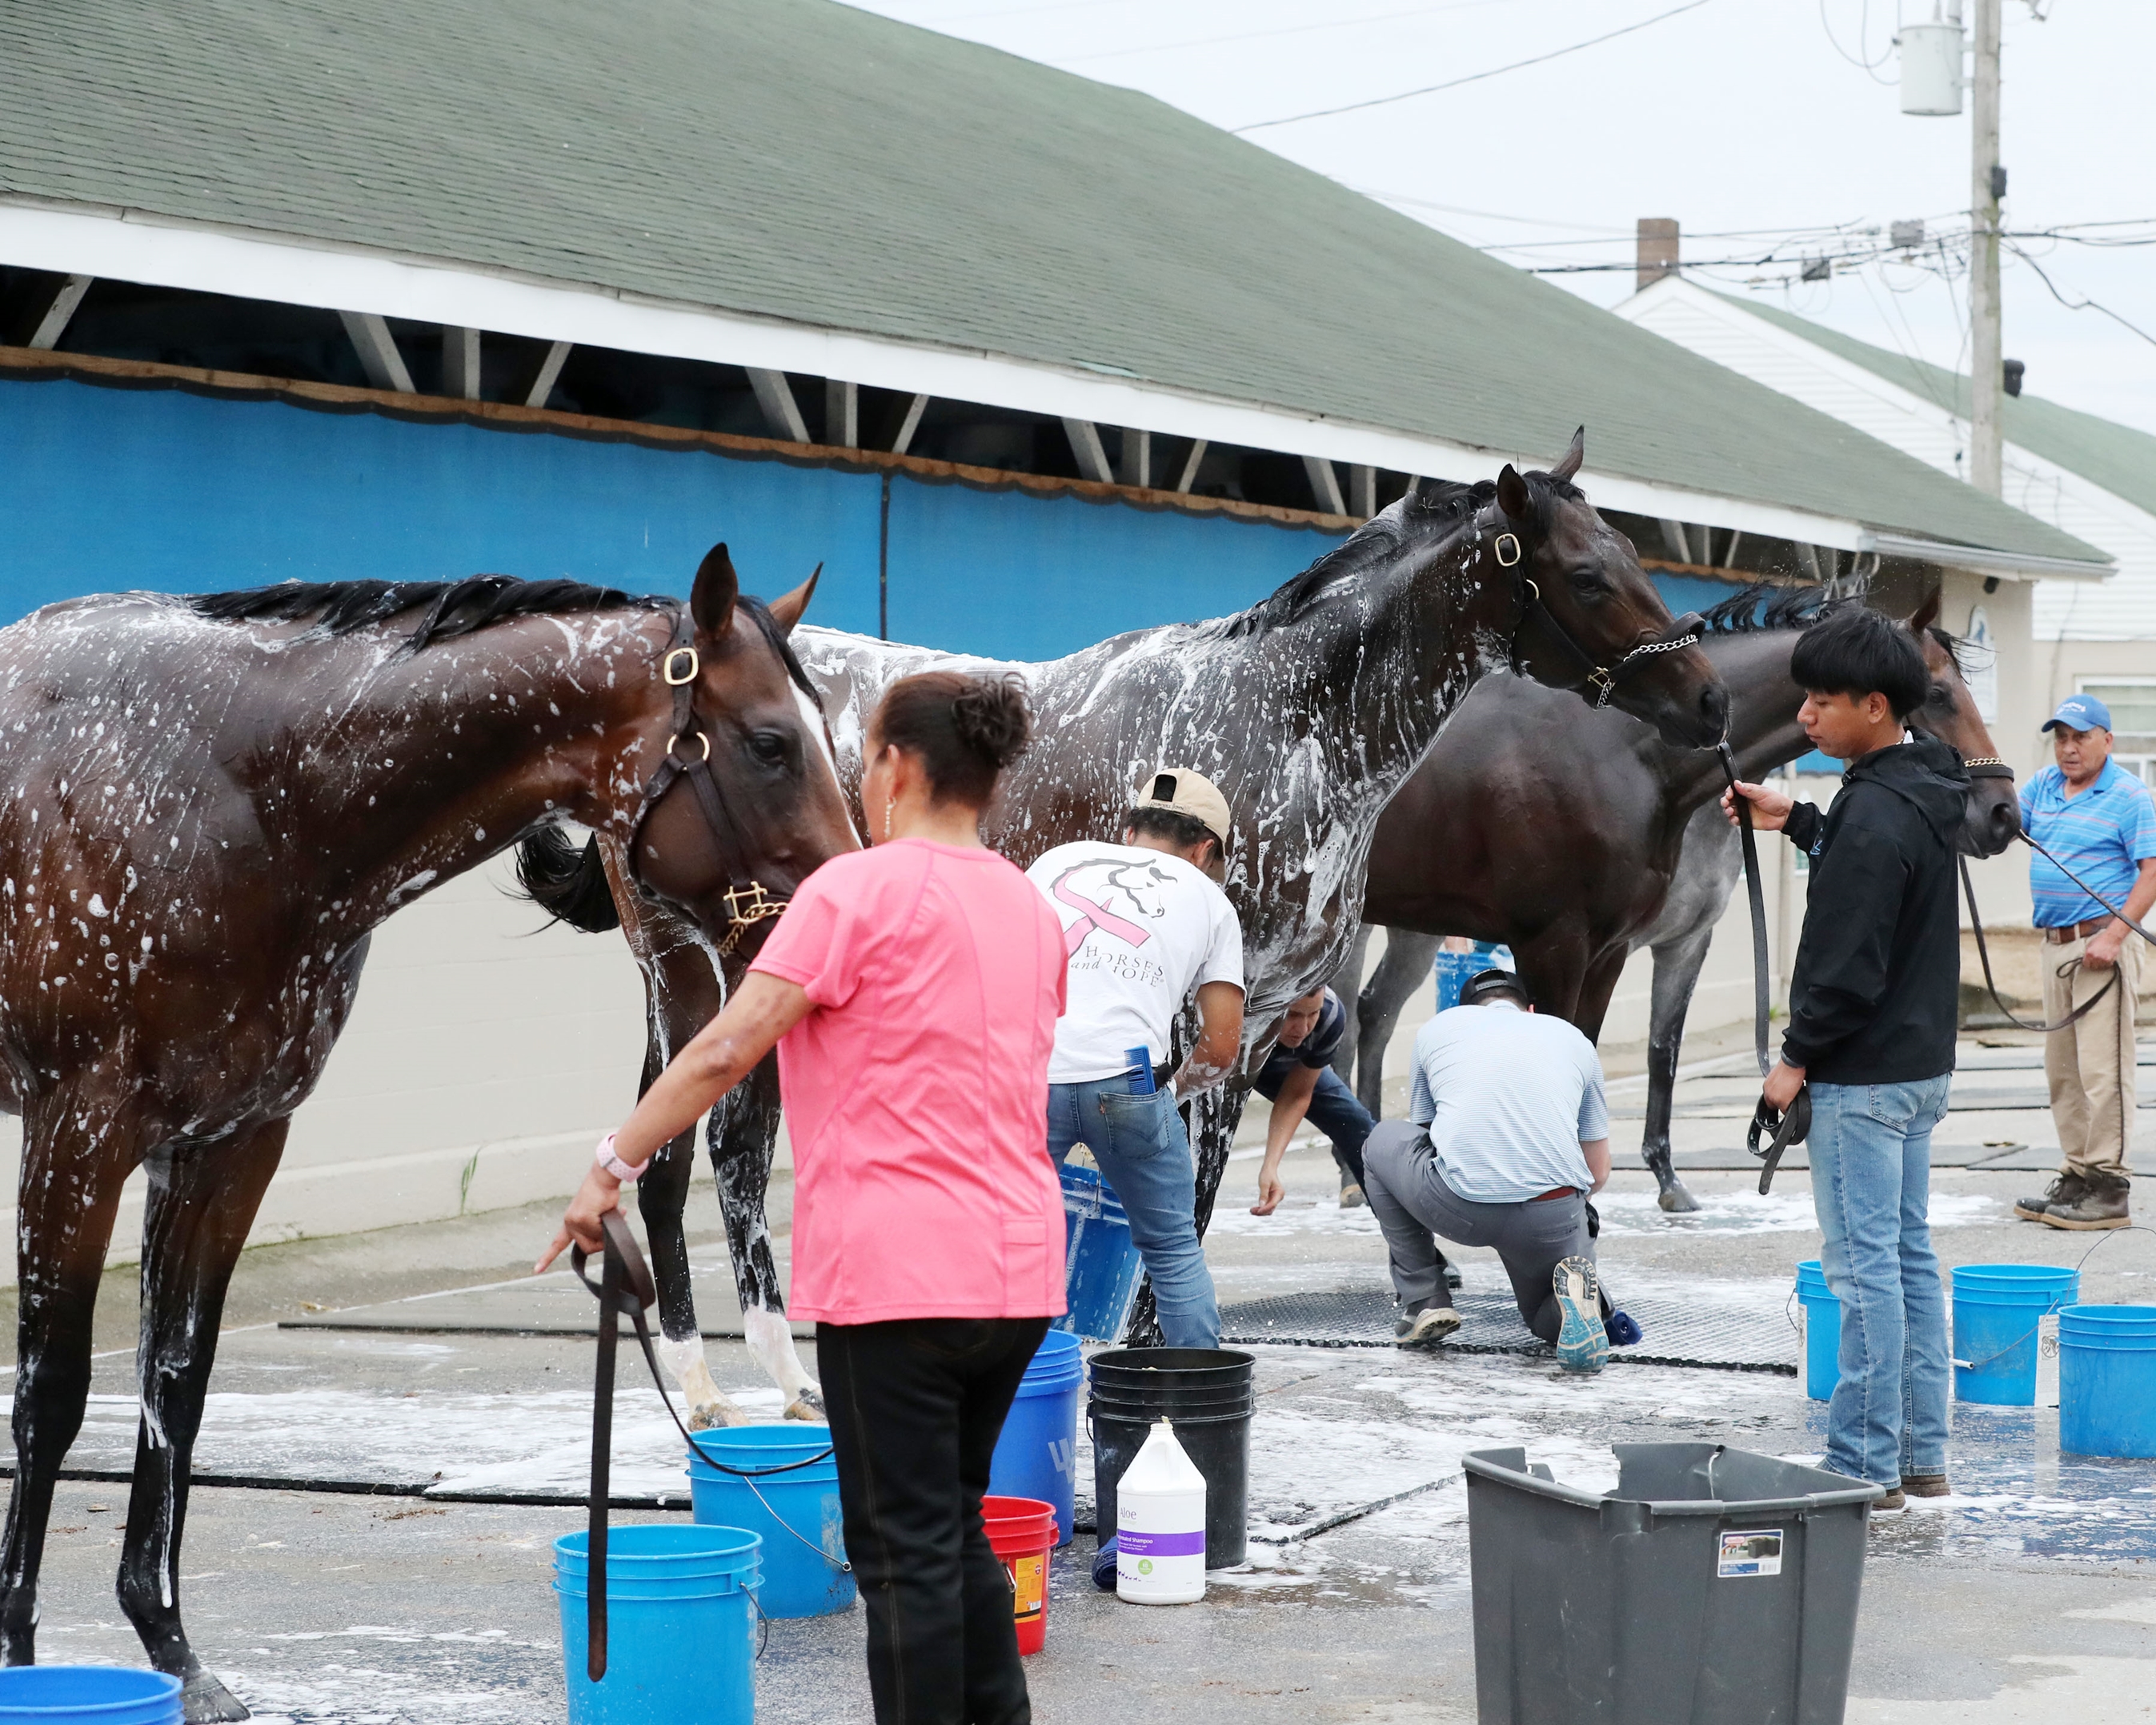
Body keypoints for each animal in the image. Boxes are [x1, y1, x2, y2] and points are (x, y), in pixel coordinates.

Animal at [0, 549, 858, 1707]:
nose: (858, 895)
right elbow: (51, 1398)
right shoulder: (79, 1130)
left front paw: (175, 1651)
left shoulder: (231, 1142)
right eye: (770, 741)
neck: (221, 776)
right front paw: (19, 1653)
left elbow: (175, 1383)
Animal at [521, 435, 1733, 1414]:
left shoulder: (1252, 1019)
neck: (1284, 721)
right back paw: (732, 1381)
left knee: (686, 1147)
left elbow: (1190, 1198)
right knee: (708, 1151)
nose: (1708, 700)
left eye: (1632, 557)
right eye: (1588, 574)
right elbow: (1172, 1195)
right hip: (704, 970)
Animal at [1336, 577, 2009, 1198]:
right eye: (1938, 693)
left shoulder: (1616, 951)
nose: (2002, 813)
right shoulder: (1552, 945)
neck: (1620, 753)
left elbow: (1646, 1048)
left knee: (1373, 1012)